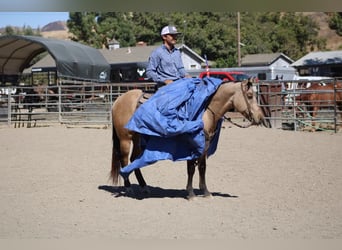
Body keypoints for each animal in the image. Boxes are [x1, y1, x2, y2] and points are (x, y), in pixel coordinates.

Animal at [109, 78, 264, 199]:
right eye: (250, 95)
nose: (260, 118)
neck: (205, 111)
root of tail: (118, 100)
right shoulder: (191, 145)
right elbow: (191, 169)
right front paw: (190, 193)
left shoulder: (205, 145)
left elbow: (202, 167)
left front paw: (206, 192)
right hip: (125, 139)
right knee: (124, 159)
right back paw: (128, 187)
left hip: (137, 140)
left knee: (133, 159)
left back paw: (144, 186)